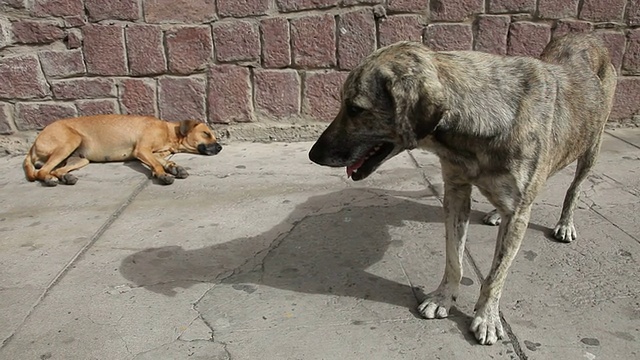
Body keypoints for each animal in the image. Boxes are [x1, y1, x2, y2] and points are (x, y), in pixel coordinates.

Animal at [23, 115, 222, 187]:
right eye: (206, 133)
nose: (220, 147)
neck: (169, 132)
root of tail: (33, 144)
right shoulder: (142, 150)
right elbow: (157, 165)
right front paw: (162, 175)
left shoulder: (155, 153)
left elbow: (163, 161)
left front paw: (174, 167)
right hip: (70, 142)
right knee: (42, 171)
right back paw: (49, 179)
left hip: (80, 158)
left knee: (56, 169)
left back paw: (65, 177)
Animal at [308, 34, 616, 346]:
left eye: (356, 108)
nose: (313, 154)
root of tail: (587, 36)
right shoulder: (456, 192)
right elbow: (454, 258)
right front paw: (443, 298)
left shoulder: (518, 214)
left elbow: (496, 275)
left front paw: (487, 316)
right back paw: (496, 212)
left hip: (592, 147)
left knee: (574, 189)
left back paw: (564, 223)